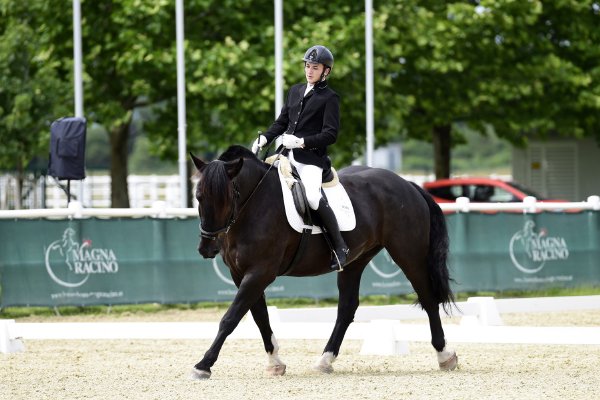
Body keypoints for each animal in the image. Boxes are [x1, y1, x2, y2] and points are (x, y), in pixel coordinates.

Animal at [190, 145, 458, 380]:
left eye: (228, 197)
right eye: (198, 196)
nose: (207, 248)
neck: (254, 204)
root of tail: (407, 184)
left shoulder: (260, 272)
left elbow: (231, 318)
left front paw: (203, 365)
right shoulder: (241, 274)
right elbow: (259, 317)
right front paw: (275, 363)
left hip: (409, 254)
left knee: (428, 298)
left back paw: (445, 356)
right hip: (356, 261)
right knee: (347, 308)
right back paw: (325, 360)